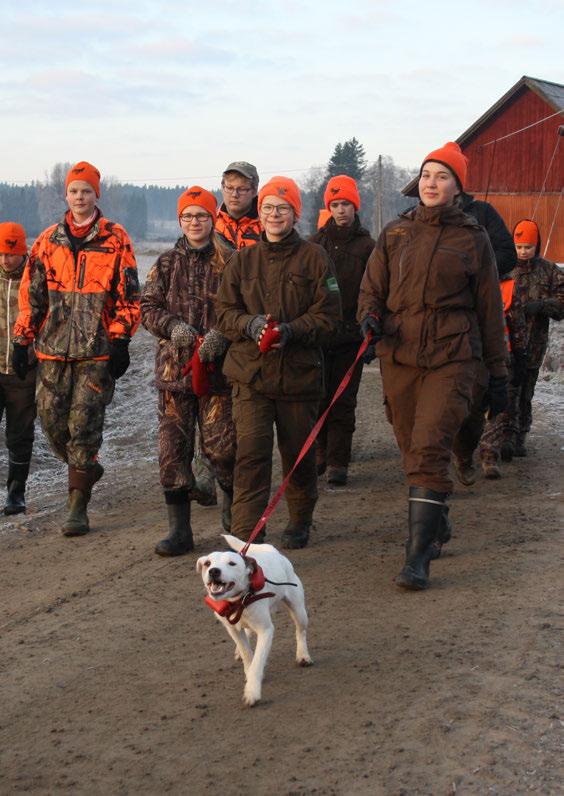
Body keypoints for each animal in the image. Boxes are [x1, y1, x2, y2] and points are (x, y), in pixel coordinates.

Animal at [197, 536, 312, 704]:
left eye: (232, 563)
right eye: (207, 563)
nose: (214, 571)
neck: (238, 601)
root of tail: (272, 551)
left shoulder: (266, 631)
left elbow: (257, 661)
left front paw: (252, 691)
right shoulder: (233, 629)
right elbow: (247, 653)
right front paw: (246, 665)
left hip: (298, 610)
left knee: (300, 631)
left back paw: (303, 655)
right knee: (247, 632)